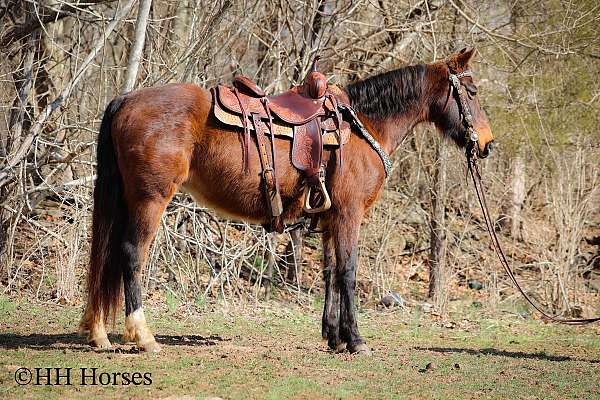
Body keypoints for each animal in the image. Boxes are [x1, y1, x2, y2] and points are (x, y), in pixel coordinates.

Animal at [78, 47, 492, 354]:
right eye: (471, 92)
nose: (486, 144)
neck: (363, 128)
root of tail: (126, 99)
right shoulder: (349, 215)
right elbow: (348, 272)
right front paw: (356, 340)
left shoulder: (330, 217)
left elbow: (330, 272)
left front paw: (333, 336)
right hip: (150, 199)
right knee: (131, 255)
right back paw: (143, 335)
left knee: (108, 254)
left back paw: (98, 332)